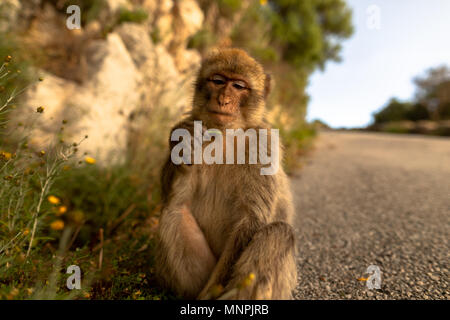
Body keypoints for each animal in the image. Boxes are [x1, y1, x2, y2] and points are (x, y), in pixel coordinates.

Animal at [156, 48, 298, 300]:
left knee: (279, 233)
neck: (225, 134)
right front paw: (183, 145)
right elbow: (175, 196)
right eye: (219, 81)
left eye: (239, 86)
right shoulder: (192, 124)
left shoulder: (263, 142)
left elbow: (252, 219)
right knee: (174, 212)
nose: (223, 100)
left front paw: (211, 294)